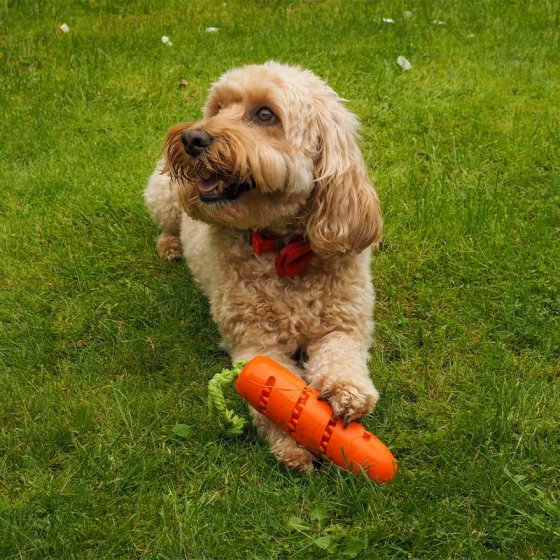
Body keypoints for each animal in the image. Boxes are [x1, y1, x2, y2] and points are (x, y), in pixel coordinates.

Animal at [143, 60, 384, 472]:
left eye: (265, 114)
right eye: (218, 108)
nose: (192, 138)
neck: (282, 250)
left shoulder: (345, 324)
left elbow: (343, 357)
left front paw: (347, 393)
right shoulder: (256, 343)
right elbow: (273, 389)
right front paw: (291, 442)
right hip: (166, 196)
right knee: (168, 222)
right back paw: (170, 244)